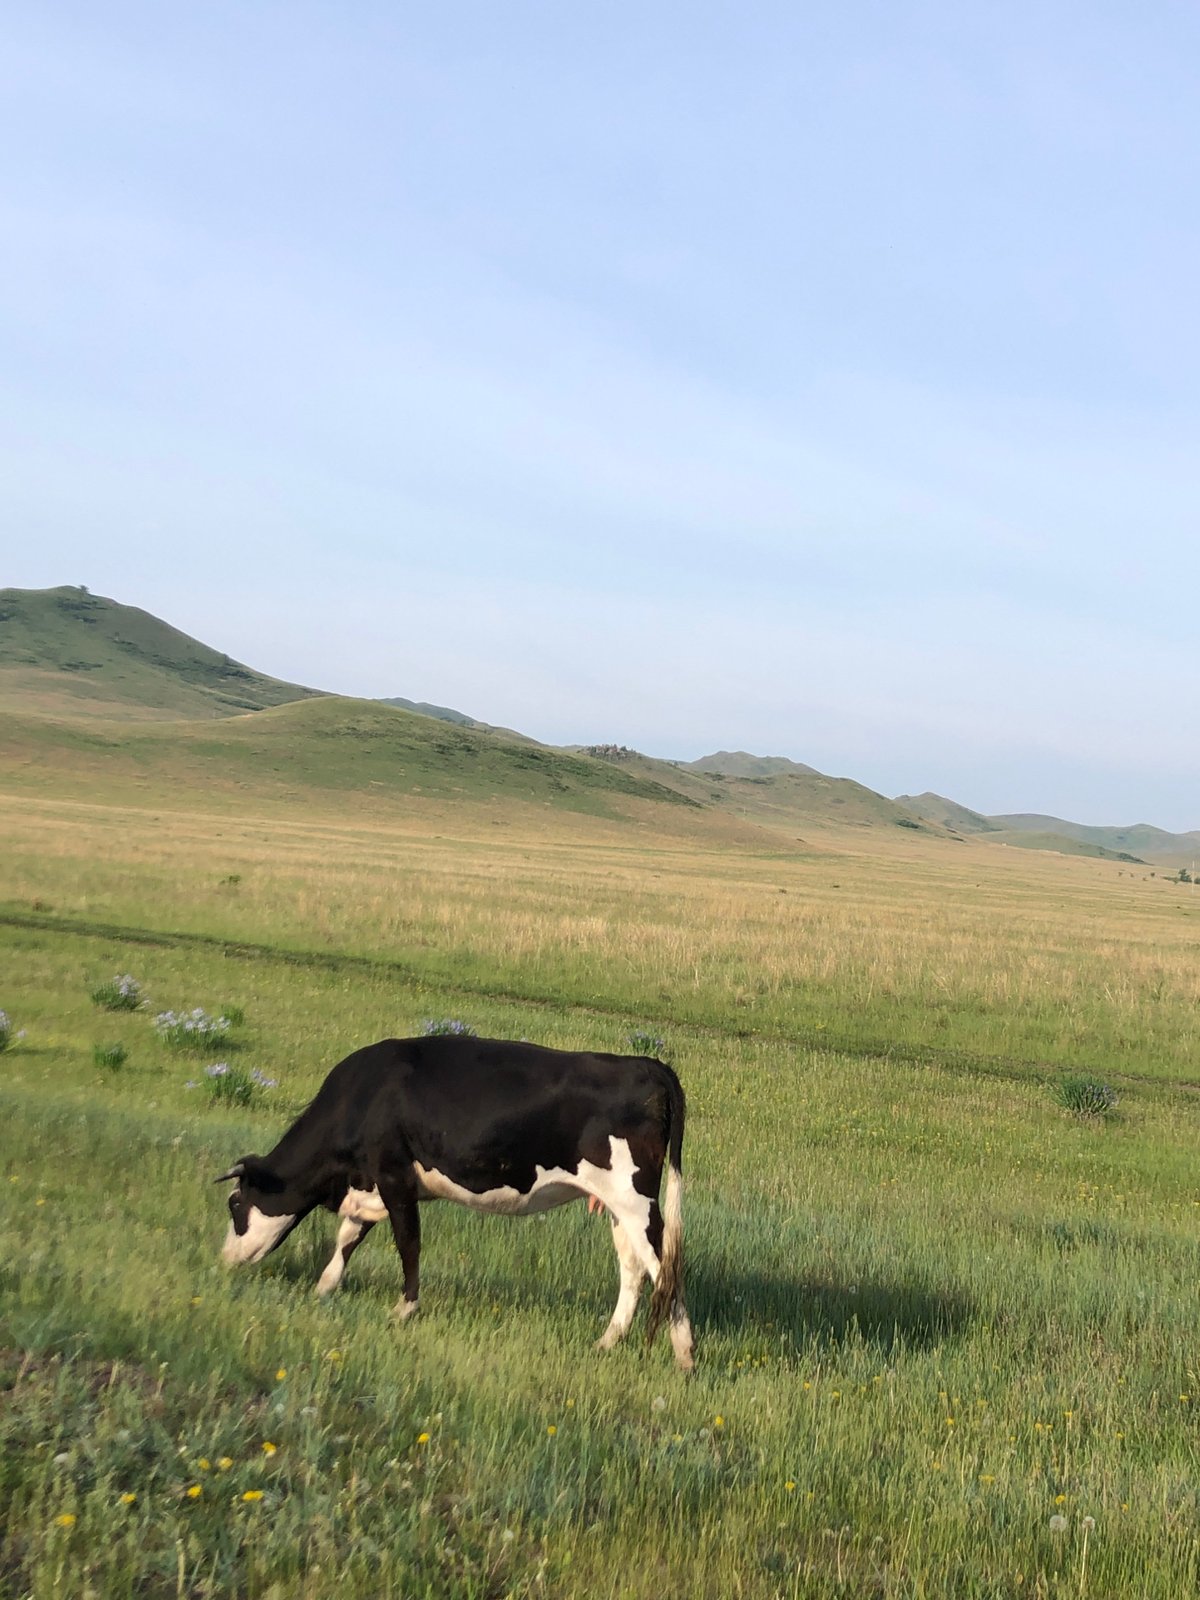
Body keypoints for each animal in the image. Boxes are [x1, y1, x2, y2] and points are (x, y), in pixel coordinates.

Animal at [216, 1035, 695, 1370]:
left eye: (234, 1204)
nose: (223, 1260)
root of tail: (647, 1064)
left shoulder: (394, 1175)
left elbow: (408, 1243)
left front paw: (404, 1309)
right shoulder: (371, 1185)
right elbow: (348, 1238)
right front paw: (324, 1288)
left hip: (635, 1200)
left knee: (665, 1268)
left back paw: (685, 1356)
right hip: (616, 1205)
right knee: (633, 1270)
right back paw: (607, 1341)